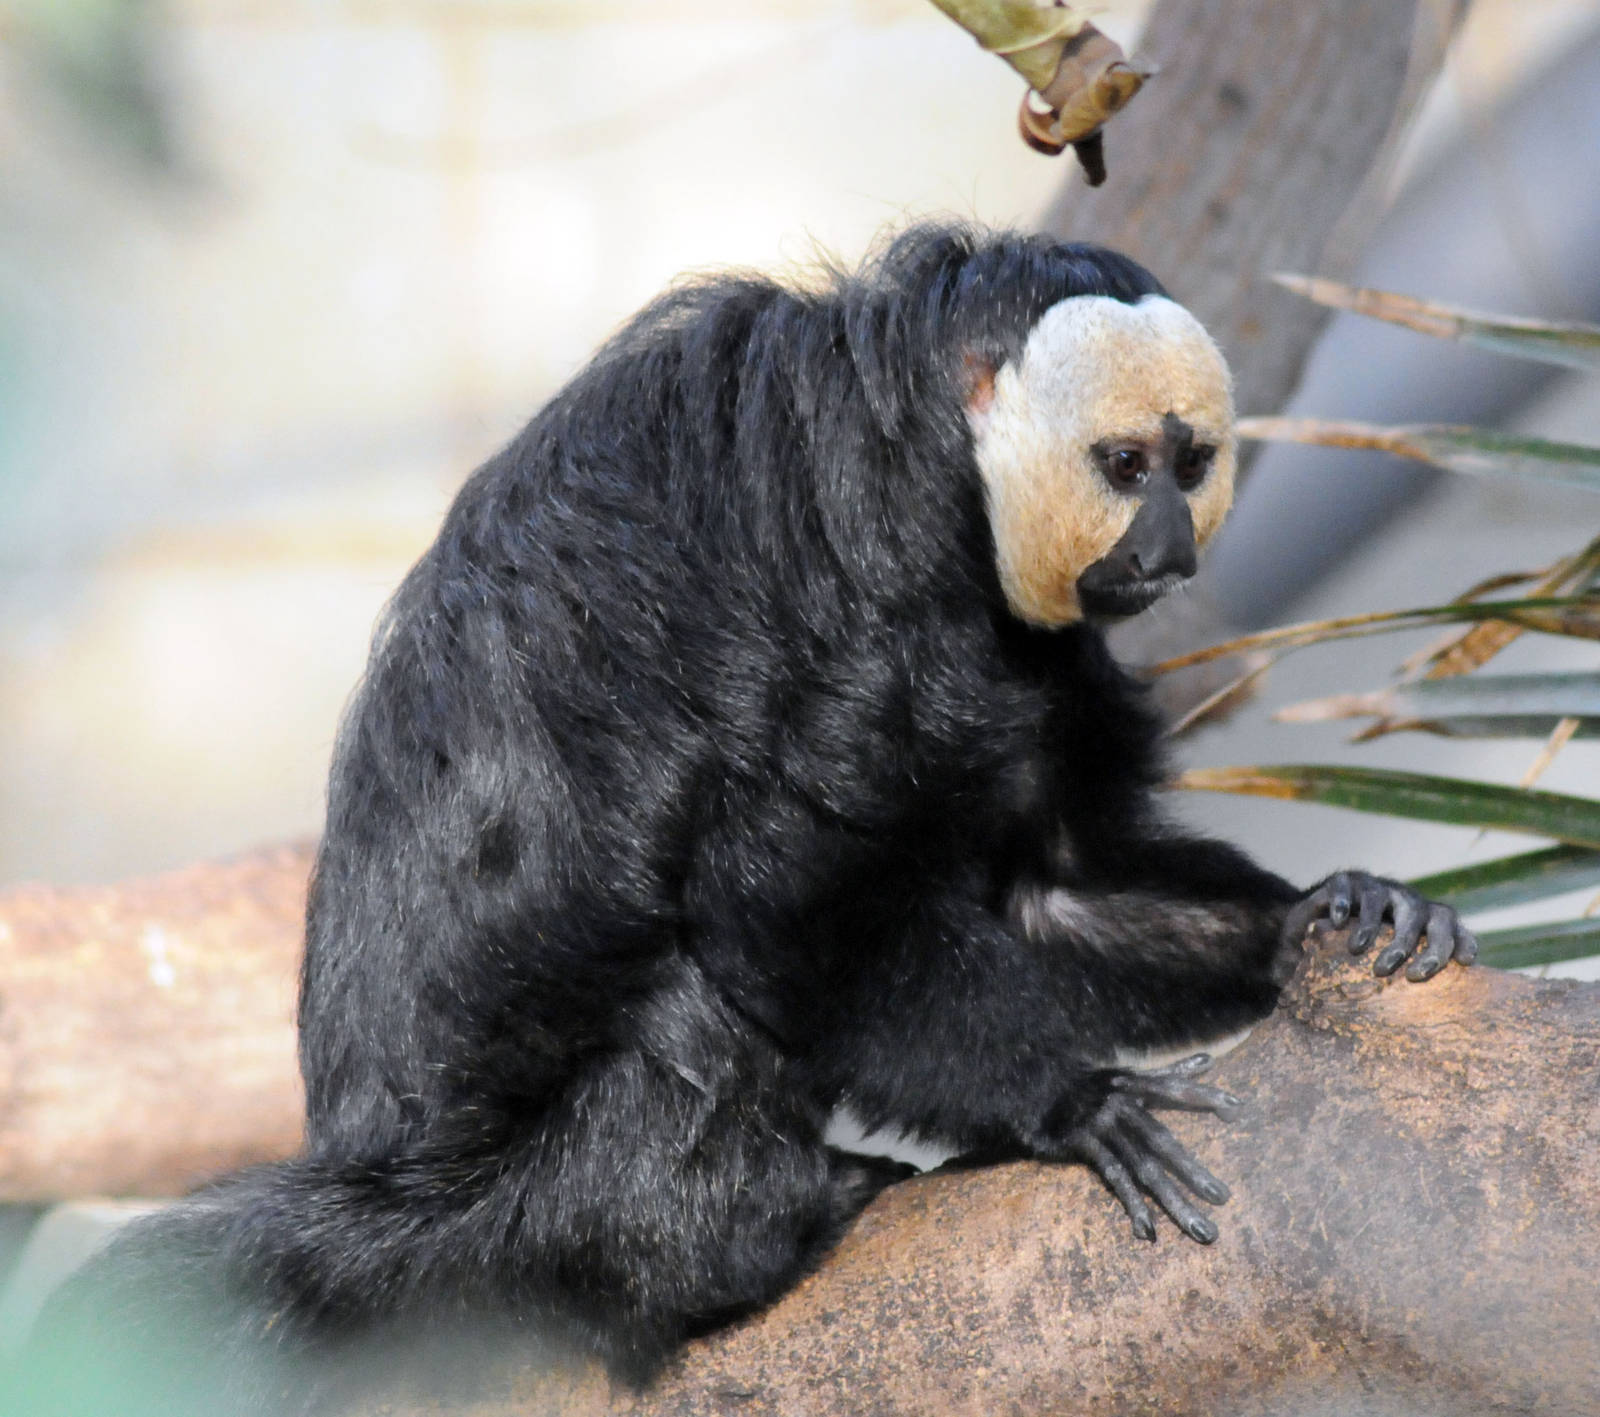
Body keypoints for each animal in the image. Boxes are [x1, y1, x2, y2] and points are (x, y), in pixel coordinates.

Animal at [17, 223, 1476, 1415]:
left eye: (1192, 462)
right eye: (1125, 465)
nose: (1169, 549)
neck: (933, 453)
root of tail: (392, 1195)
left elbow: (1051, 892)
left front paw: (1323, 917)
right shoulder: (874, 591)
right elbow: (782, 898)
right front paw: (1066, 1100)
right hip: (528, 1214)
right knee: (691, 1020)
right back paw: (726, 1241)